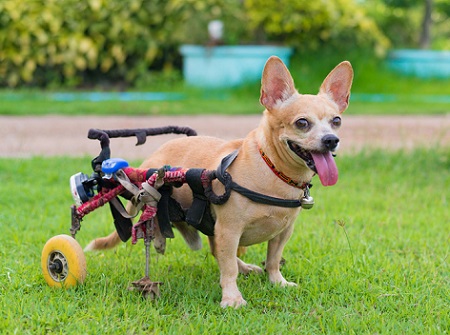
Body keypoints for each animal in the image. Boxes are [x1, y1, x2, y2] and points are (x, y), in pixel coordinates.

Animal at [86, 56, 354, 308]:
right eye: (302, 123)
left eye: (337, 121)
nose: (331, 140)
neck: (273, 170)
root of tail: (149, 159)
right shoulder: (229, 230)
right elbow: (228, 268)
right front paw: (232, 298)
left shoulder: (282, 232)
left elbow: (273, 259)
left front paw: (277, 282)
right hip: (156, 192)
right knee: (154, 211)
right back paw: (161, 236)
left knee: (218, 250)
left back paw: (245, 266)